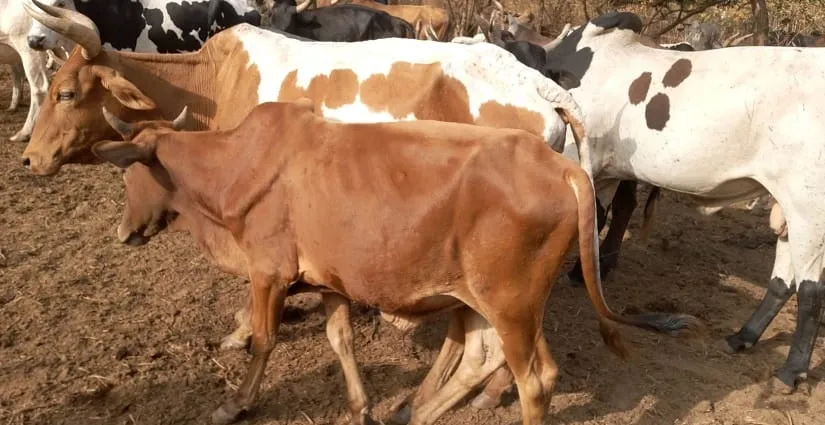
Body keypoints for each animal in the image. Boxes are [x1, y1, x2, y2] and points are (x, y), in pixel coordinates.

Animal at [91, 99, 703, 425]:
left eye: (128, 172)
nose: (122, 232)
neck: (237, 166)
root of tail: (562, 166)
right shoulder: (330, 281)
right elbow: (340, 339)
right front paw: (362, 405)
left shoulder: (268, 273)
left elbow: (264, 340)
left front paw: (235, 404)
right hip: (491, 301)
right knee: (485, 358)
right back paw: (416, 412)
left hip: (510, 303)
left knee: (534, 378)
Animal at [541, 10, 825, 393]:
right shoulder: (603, 171)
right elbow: (595, 218)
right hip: (789, 209)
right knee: (783, 282)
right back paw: (743, 337)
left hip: (808, 208)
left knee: (811, 292)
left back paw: (791, 370)